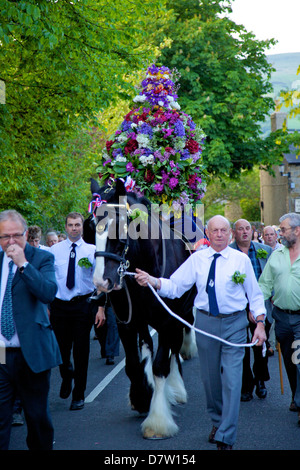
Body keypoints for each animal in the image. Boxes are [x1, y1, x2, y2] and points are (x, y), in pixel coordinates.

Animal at [84, 178, 198, 438]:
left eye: (119, 227)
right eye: (91, 227)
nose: (101, 282)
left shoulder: (167, 321)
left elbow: (160, 365)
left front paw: (158, 421)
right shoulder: (127, 323)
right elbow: (133, 365)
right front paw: (141, 398)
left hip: (180, 314)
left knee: (176, 345)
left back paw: (176, 387)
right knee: (146, 345)